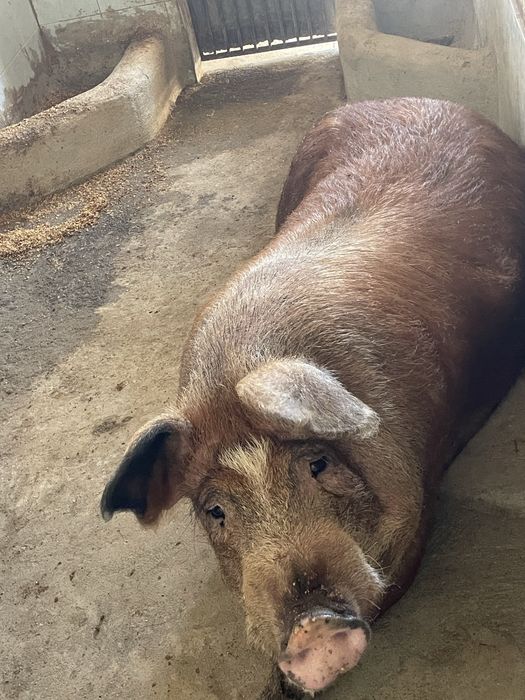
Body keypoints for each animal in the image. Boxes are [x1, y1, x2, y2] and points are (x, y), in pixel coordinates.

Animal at [101, 97, 525, 697]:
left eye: (318, 463)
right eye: (215, 510)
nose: (312, 626)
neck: (237, 368)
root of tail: (406, 99)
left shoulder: (417, 498)